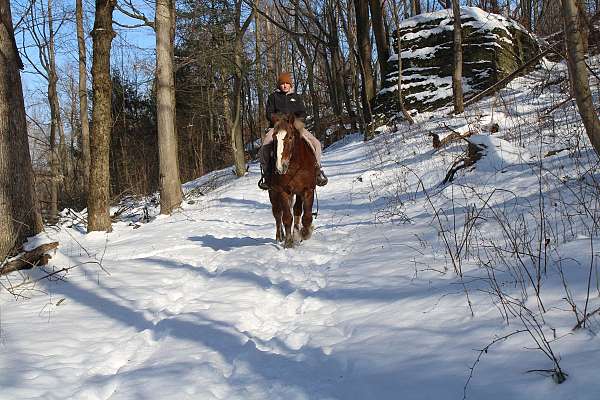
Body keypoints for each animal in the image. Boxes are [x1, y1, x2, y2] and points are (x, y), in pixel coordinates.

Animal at [268, 112, 316, 248]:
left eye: (290, 137)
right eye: (274, 137)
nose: (280, 167)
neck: (295, 165)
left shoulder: (307, 190)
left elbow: (306, 215)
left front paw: (304, 233)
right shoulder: (283, 191)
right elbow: (287, 218)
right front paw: (289, 242)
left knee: (296, 210)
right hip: (273, 193)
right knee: (277, 214)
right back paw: (280, 236)